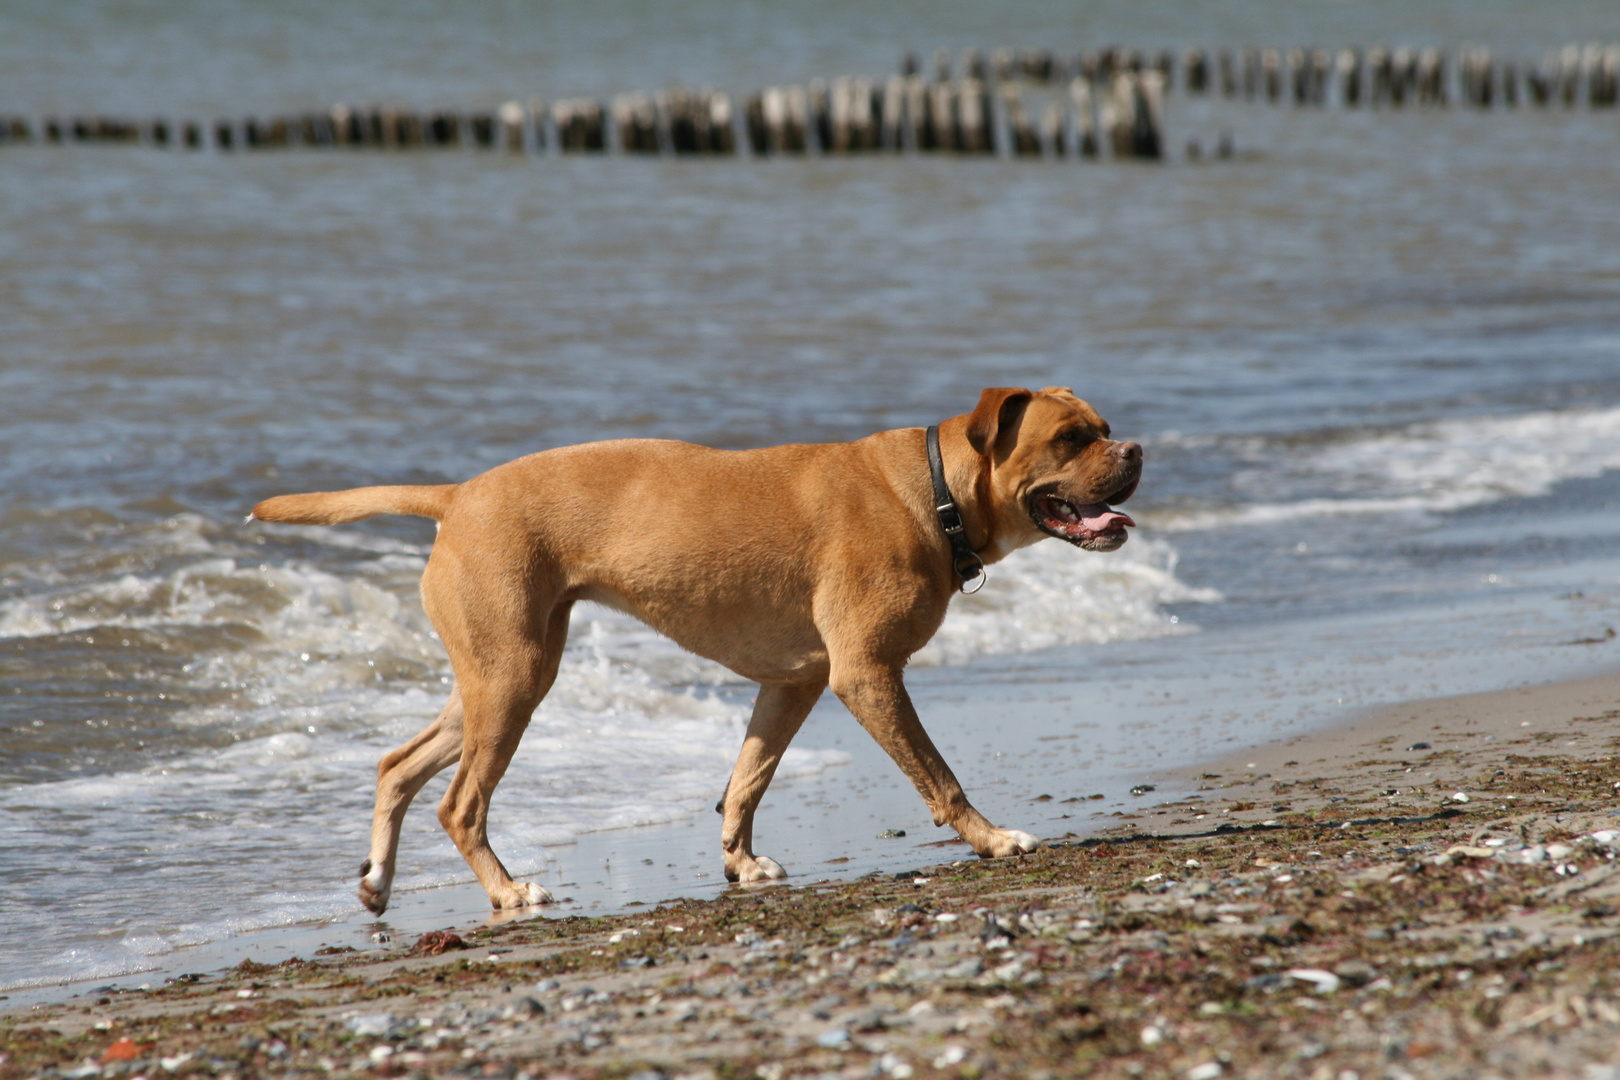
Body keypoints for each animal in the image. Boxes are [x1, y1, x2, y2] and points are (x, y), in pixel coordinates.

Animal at [249, 388, 1140, 913]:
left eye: (1104, 429)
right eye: (1071, 438)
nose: (1135, 452)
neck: (935, 490)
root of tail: (458, 495)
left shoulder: (795, 683)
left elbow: (746, 781)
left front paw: (740, 865)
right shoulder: (866, 676)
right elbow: (940, 779)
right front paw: (992, 840)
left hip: (492, 679)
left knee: (398, 763)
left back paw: (379, 881)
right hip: (513, 682)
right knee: (459, 802)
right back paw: (506, 890)